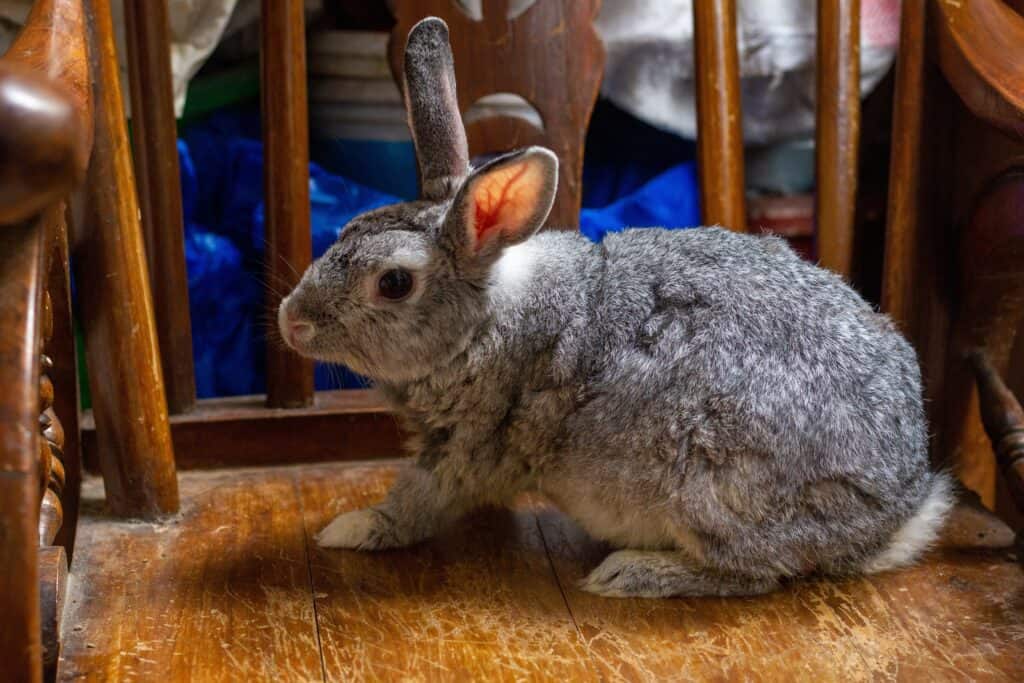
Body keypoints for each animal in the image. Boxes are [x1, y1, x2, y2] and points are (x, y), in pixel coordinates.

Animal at [280, 15, 950, 598]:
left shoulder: (465, 449)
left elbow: (416, 503)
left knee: (752, 573)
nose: (291, 321)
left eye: (394, 283)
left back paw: (632, 574)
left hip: (710, 486)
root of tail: (898, 513)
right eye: (345, 230)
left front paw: (349, 528)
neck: (488, 321)